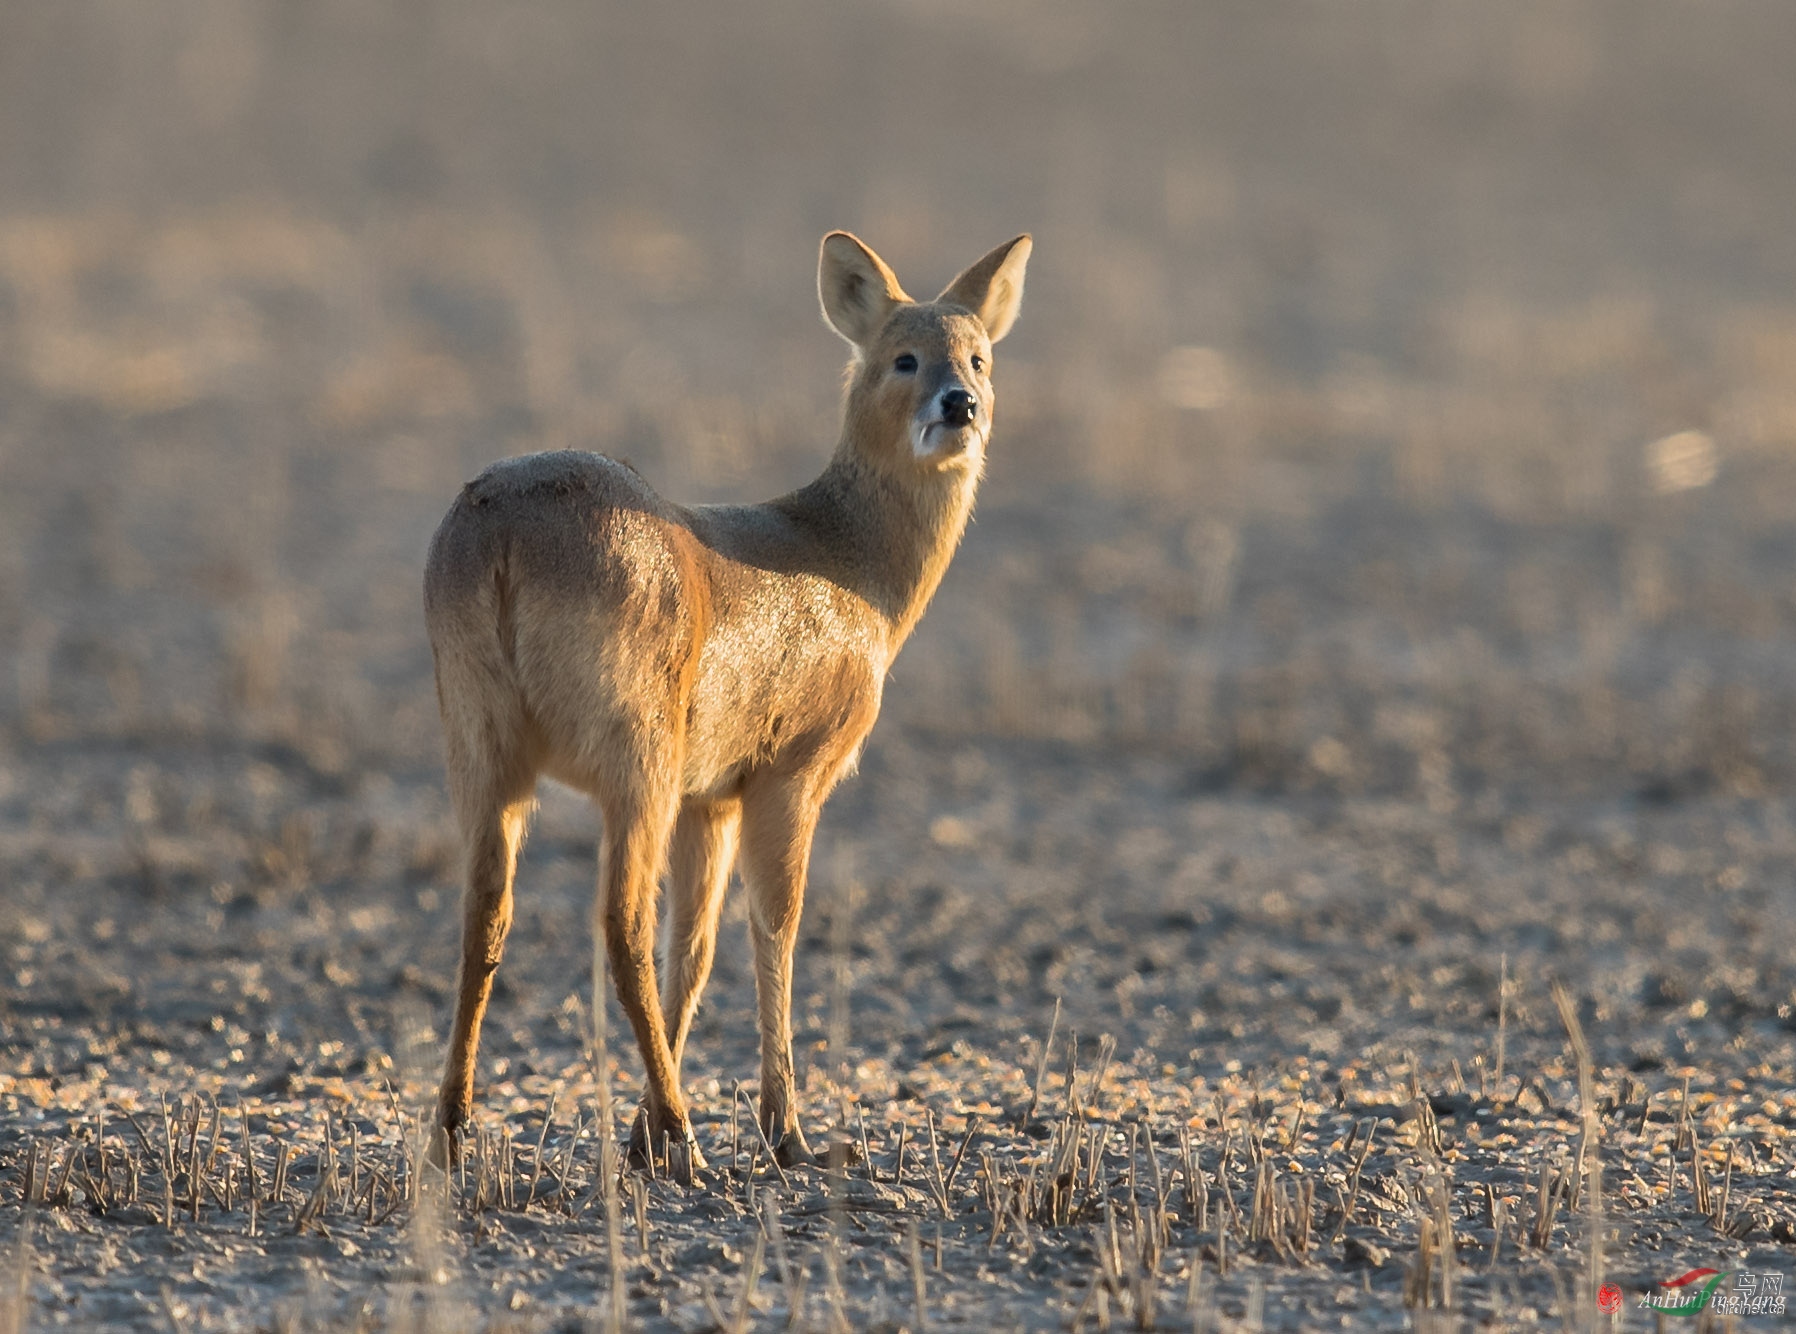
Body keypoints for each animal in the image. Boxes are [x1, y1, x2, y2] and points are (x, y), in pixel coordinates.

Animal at [422, 231, 1034, 1177]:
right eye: (902, 356)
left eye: (979, 355)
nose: (959, 404)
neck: (852, 569)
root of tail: (501, 537)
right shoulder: (793, 770)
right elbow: (772, 928)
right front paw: (784, 1133)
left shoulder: (706, 796)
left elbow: (698, 947)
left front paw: (640, 1135)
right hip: (634, 750)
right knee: (620, 923)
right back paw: (688, 1136)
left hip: (480, 739)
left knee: (485, 913)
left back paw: (454, 1132)